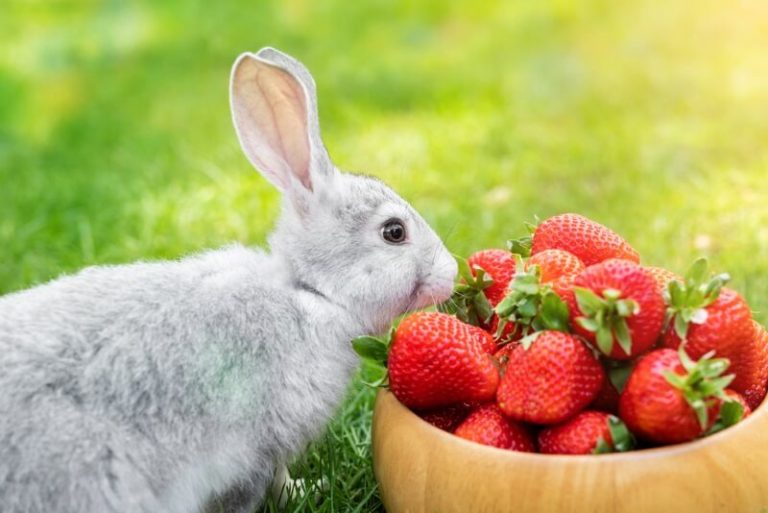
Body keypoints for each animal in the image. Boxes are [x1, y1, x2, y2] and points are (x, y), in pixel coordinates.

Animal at [0, 47, 458, 513]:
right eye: (394, 232)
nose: (452, 272)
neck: (311, 292)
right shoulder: (258, 447)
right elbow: (266, 482)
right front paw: (307, 490)